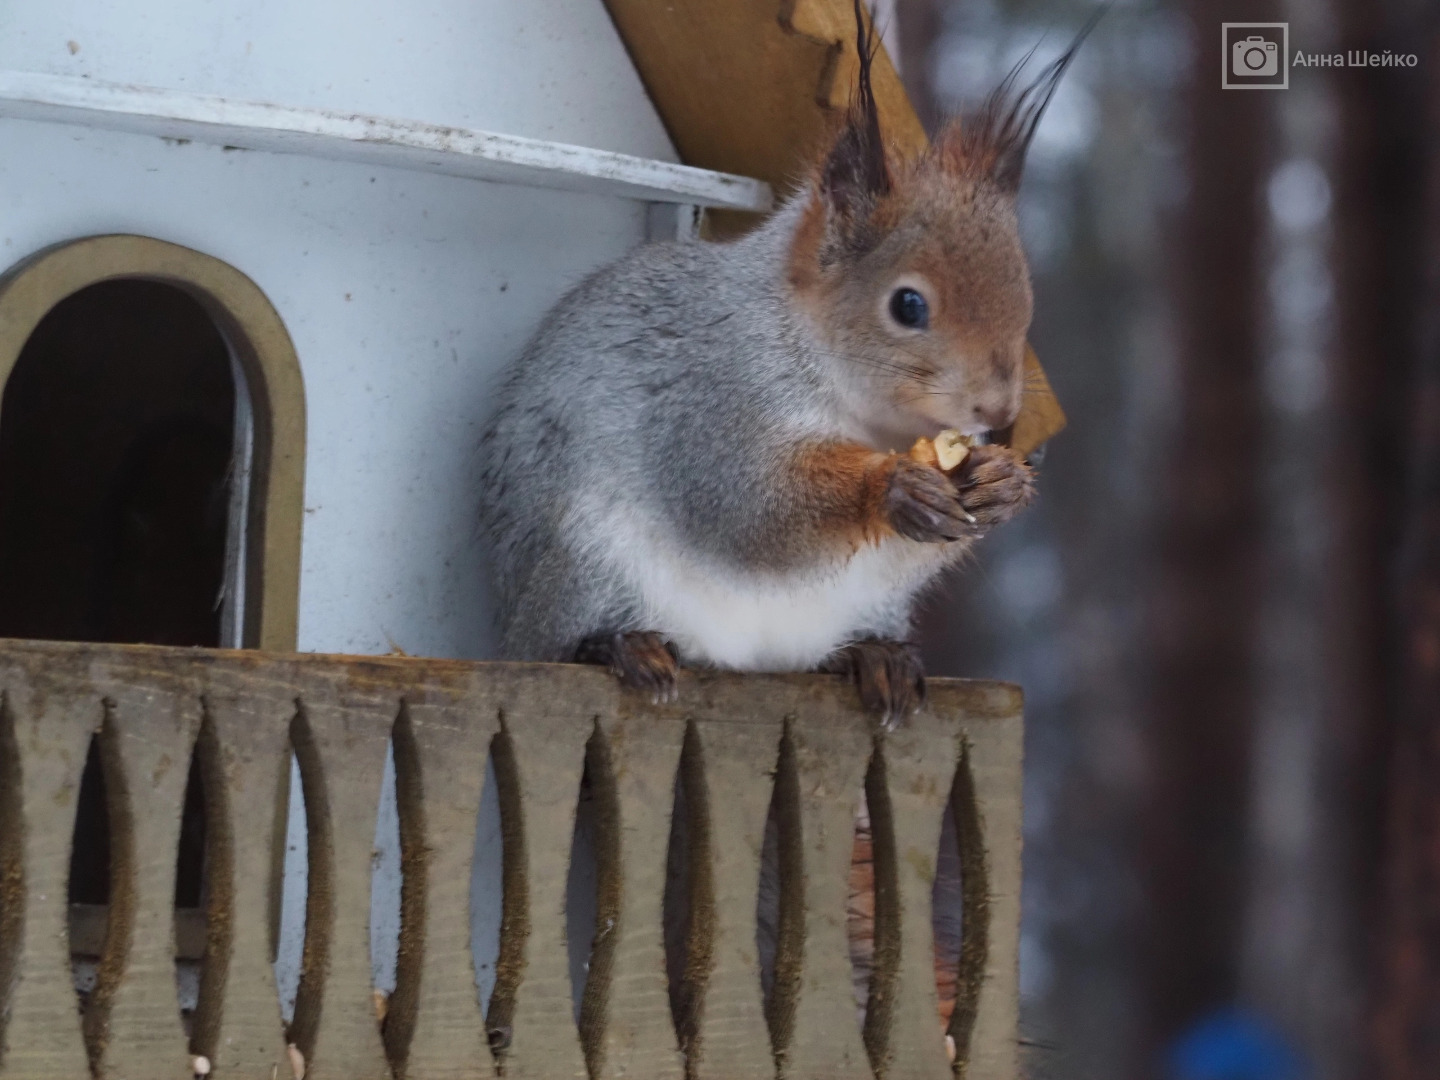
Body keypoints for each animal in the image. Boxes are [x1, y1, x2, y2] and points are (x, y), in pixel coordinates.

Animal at [478, 4, 1082, 728]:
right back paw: (619, 646)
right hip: (584, 563)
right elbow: (749, 502)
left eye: (1025, 295)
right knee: (565, 637)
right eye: (908, 304)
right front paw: (892, 487)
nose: (1000, 409)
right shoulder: (711, 399)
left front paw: (1003, 484)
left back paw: (875, 655)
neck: (866, 412)